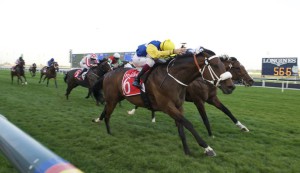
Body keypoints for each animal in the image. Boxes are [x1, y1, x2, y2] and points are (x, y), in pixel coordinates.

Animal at [92, 47, 236, 157]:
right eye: (216, 65)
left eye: (225, 66)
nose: (231, 86)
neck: (173, 78)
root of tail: (107, 74)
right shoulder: (168, 107)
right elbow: (189, 124)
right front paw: (207, 148)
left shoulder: (178, 107)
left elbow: (181, 128)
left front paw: (187, 151)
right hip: (112, 99)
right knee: (108, 114)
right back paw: (109, 132)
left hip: (117, 98)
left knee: (105, 110)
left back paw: (99, 120)